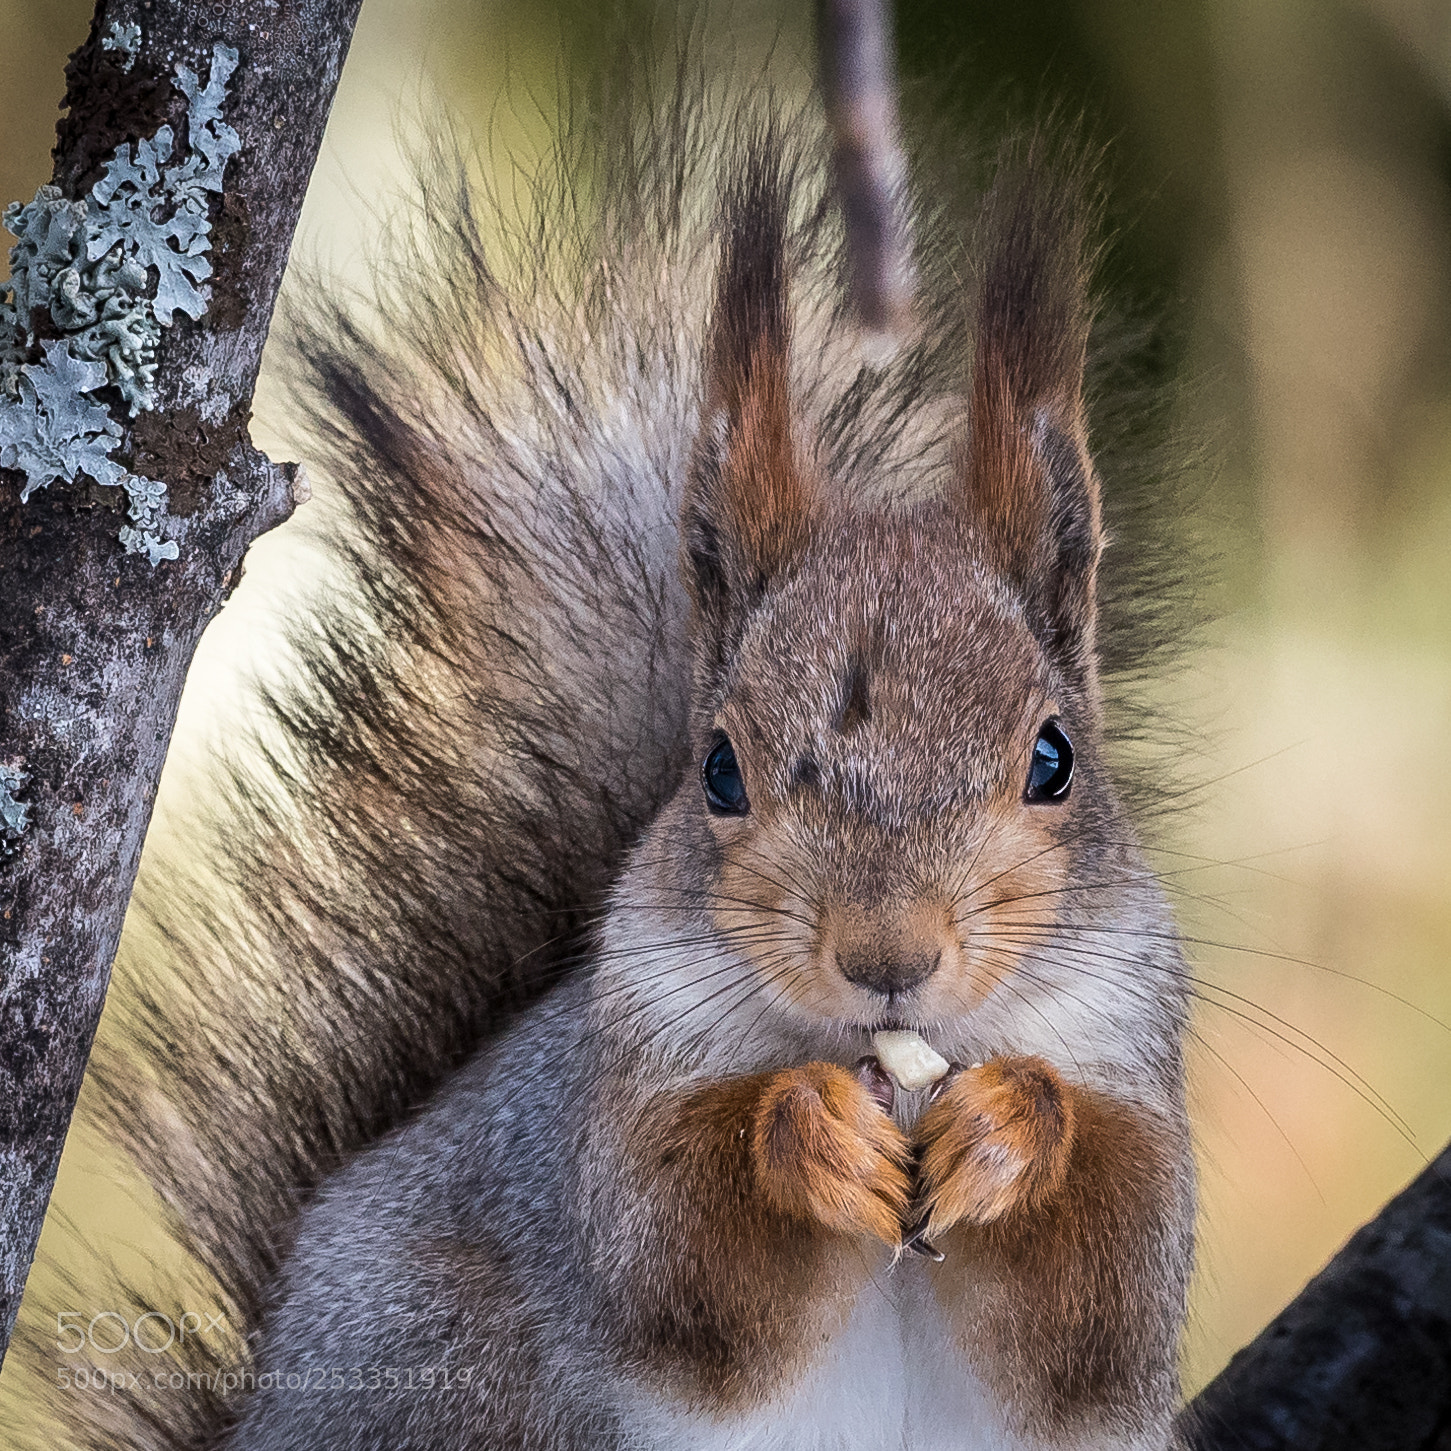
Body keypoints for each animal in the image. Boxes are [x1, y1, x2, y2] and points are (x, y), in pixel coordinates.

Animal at [28, 45, 1195, 1451]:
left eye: (1052, 757)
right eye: (719, 769)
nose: (886, 955)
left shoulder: (1131, 1052)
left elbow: (1103, 1302)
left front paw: (1014, 1126)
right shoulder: (618, 1077)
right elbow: (678, 1263)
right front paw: (804, 1130)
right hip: (441, 1367)